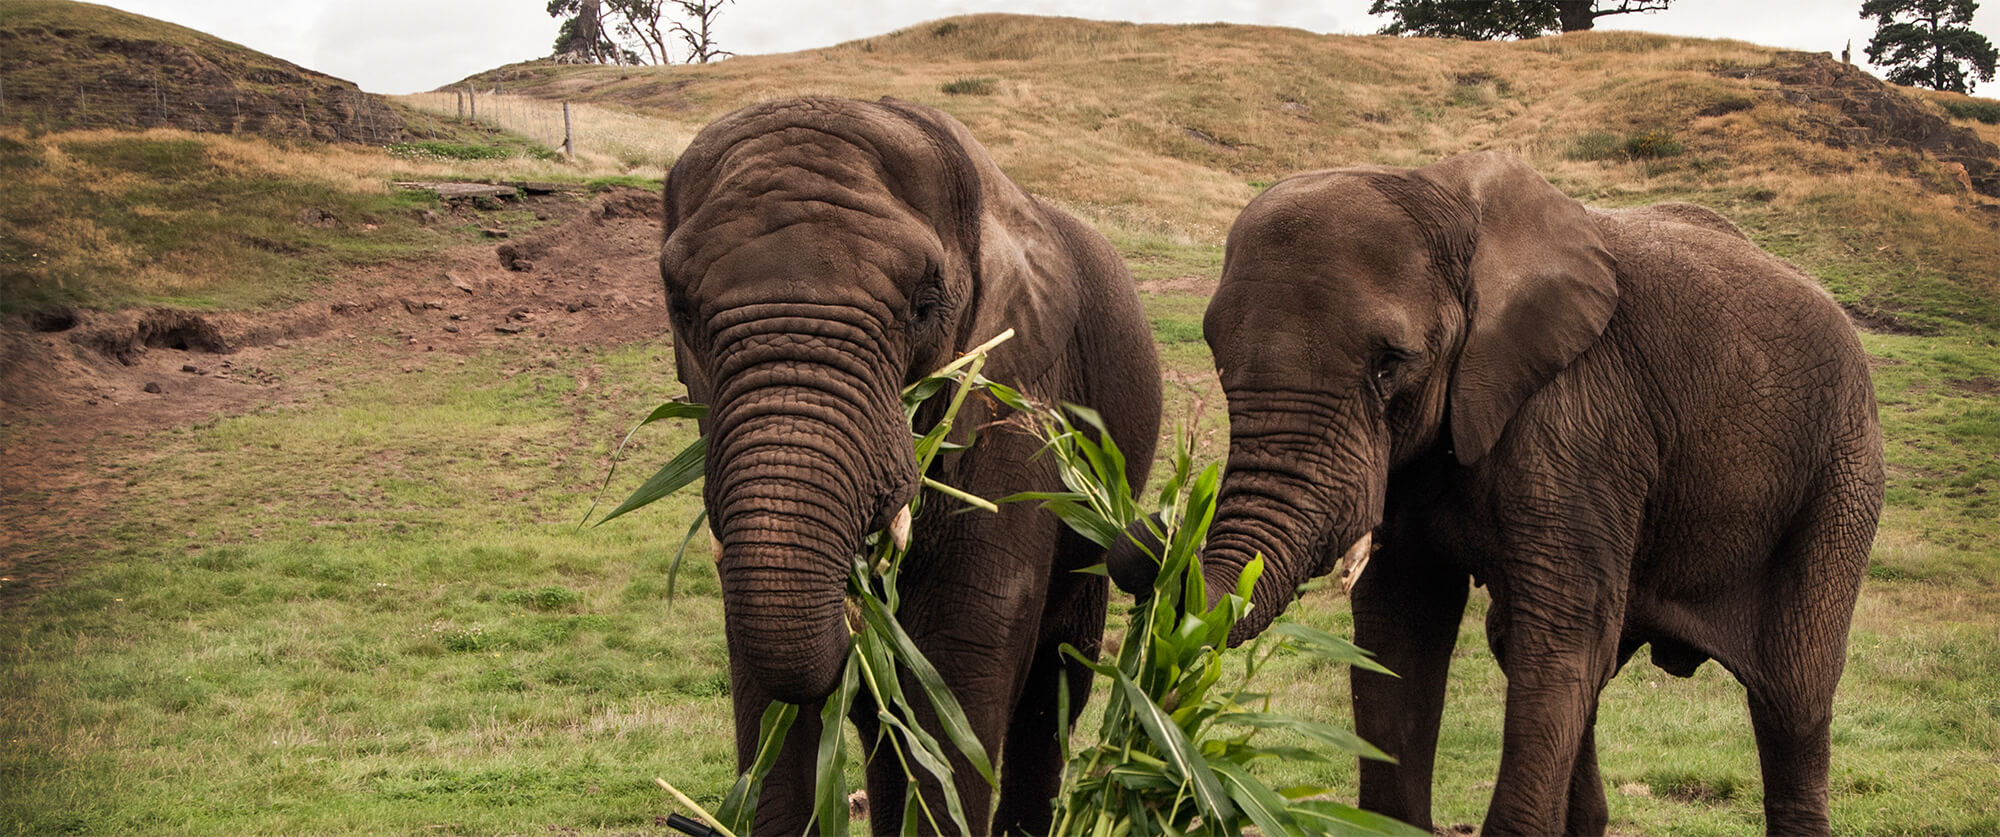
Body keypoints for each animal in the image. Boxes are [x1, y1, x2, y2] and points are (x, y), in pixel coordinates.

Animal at [659, 97, 1161, 835]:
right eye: (680, 308)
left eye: (925, 307)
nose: (861, 605)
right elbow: (767, 682)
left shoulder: (1018, 407)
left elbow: (953, 671)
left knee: (1055, 684)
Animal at [1154, 150, 1884, 835]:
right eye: (1217, 360)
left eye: (1390, 365)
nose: (1151, 543)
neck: (1444, 198)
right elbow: (1401, 630)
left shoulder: (1582, 416)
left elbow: (1558, 635)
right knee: (1554, 657)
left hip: (1841, 474)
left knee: (1792, 693)